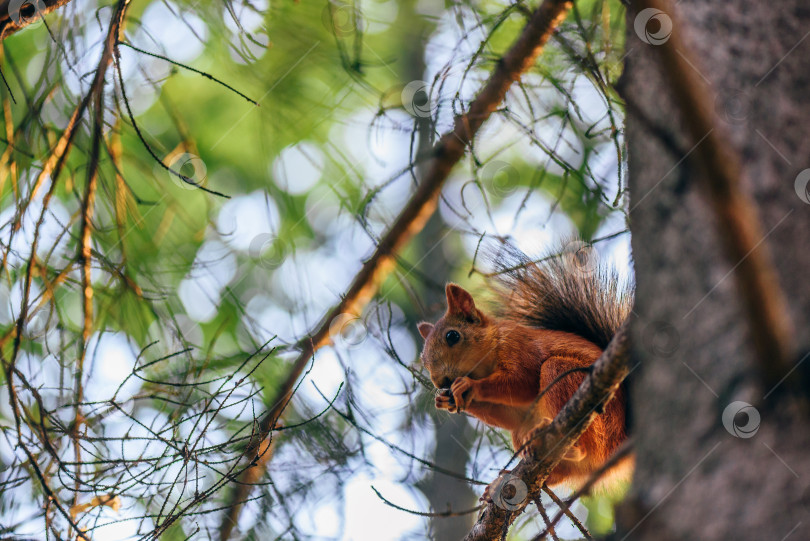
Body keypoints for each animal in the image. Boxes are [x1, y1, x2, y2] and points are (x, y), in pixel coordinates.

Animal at [416, 245, 632, 490]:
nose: (439, 382)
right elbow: (508, 415)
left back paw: (572, 446)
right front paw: (445, 400)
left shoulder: (519, 348)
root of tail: (617, 445)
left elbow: (522, 383)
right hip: (522, 435)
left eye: (452, 336)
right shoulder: (515, 414)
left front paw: (470, 386)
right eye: (423, 358)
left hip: (571, 384)